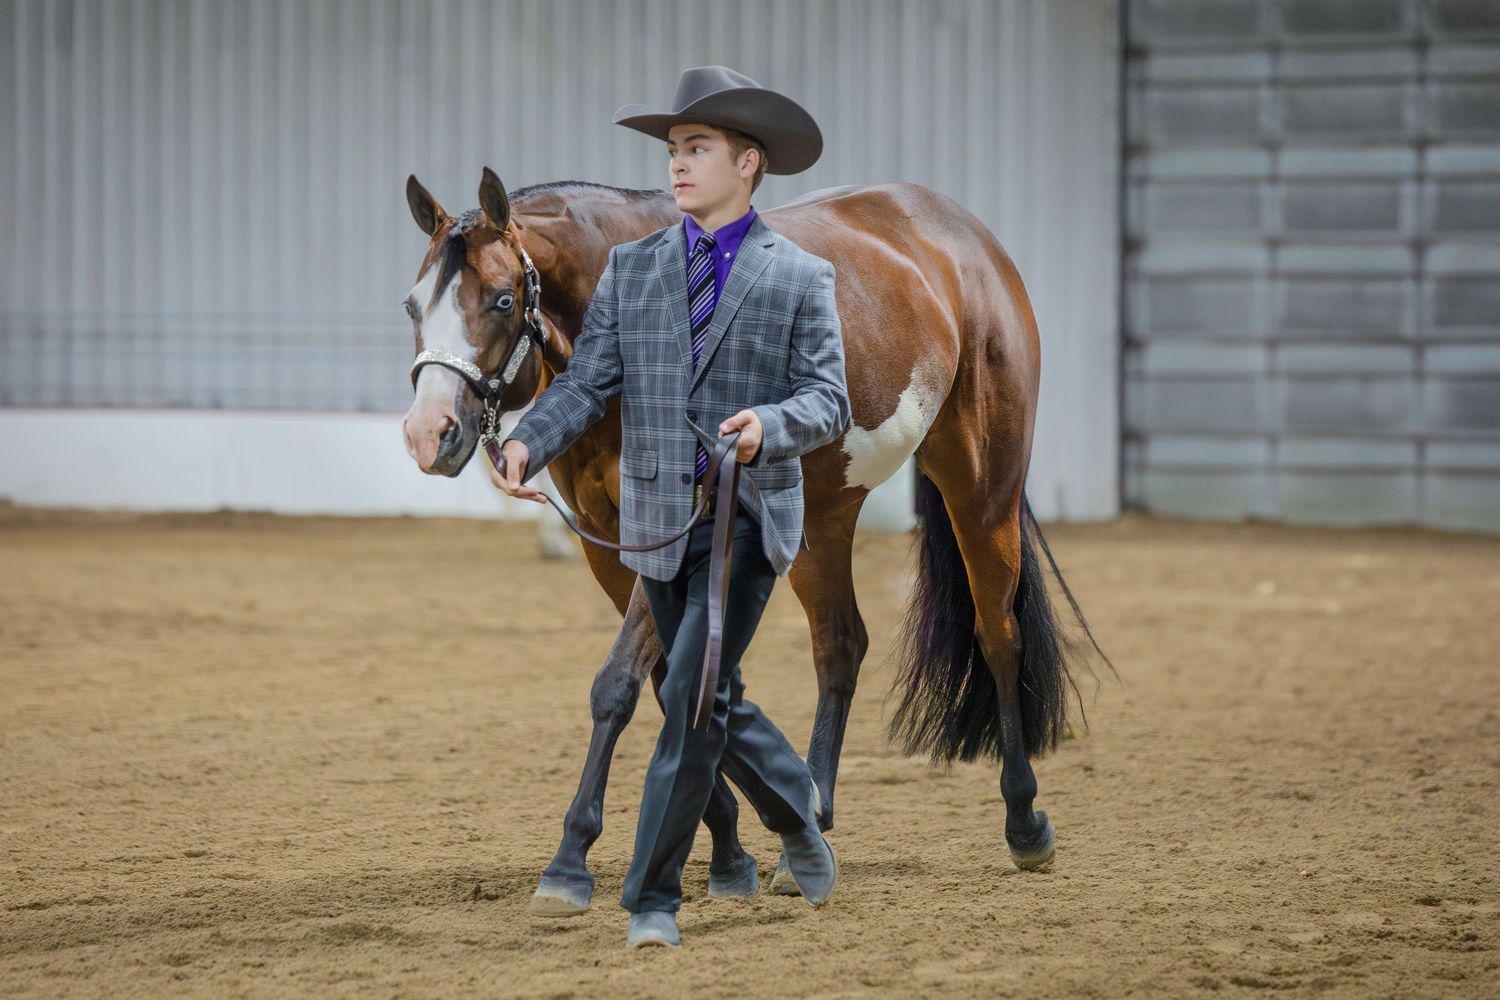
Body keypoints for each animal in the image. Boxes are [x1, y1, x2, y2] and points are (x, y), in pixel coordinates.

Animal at [400, 169, 1109, 914]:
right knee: (839, 645)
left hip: (980, 485)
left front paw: (571, 859)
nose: (429, 434)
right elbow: (677, 681)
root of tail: (965, 239)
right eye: (413, 305)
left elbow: (622, 683)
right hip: (820, 519)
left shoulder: (677, 530)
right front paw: (732, 847)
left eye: (503, 299)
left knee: (997, 632)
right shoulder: (613, 548)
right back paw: (813, 821)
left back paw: (1024, 821)